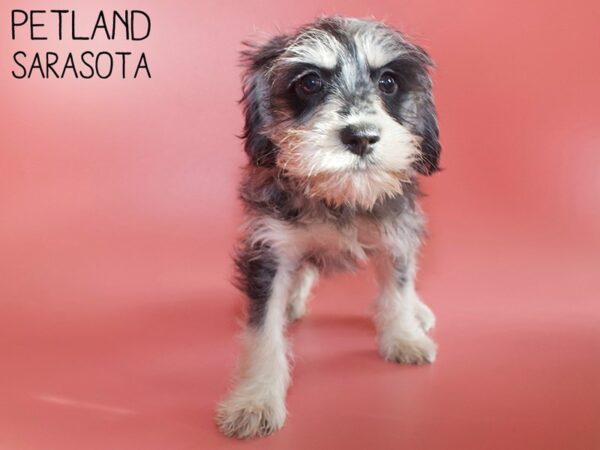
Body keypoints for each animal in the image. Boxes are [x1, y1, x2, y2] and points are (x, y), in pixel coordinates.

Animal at [216, 16, 441, 439]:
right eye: (310, 83)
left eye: (388, 81)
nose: (362, 137)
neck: (338, 196)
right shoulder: (269, 248)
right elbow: (263, 333)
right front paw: (255, 401)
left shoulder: (397, 233)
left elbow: (397, 289)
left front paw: (404, 336)